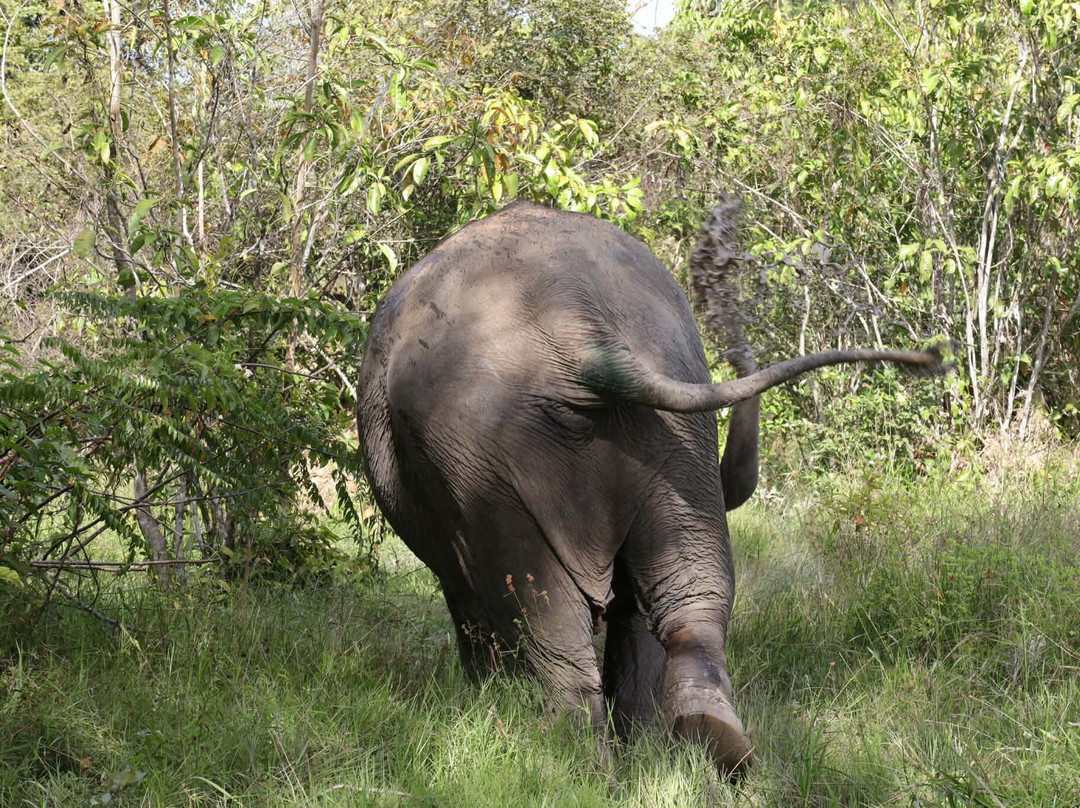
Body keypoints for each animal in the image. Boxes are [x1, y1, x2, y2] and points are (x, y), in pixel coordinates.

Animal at [356, 201, 942, 777]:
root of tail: (580, 335)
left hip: (480, 456)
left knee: (540, 610)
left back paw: (578, 766)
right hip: (670, 420)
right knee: (687, 591)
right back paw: (706, 743)